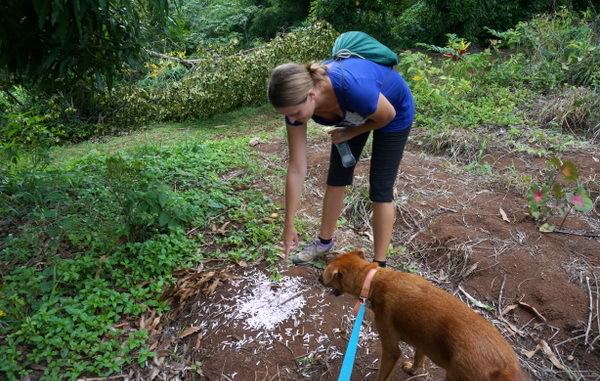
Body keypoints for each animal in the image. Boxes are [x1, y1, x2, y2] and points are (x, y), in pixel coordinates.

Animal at [322, 249, 524, 380]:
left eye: (325, 275)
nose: (317, 278)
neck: (374, 281)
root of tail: (505, 368)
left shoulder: (391, 349)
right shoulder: (422, 339)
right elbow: (419, 358)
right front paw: (412, 369)